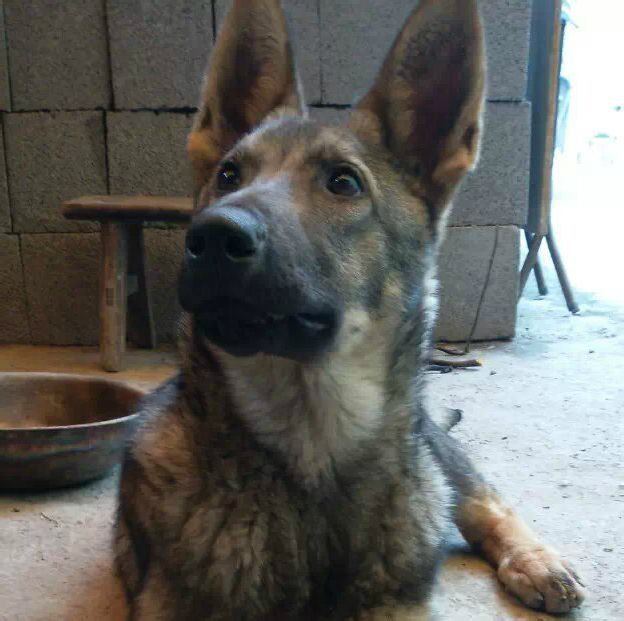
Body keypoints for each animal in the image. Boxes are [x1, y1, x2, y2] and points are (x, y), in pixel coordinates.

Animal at [114, 1, 586, 618]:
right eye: (228, 175)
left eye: (343, 183)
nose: (211, 238)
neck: (310, 456)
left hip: (430, 448)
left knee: (481, 498)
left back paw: (536, 560)